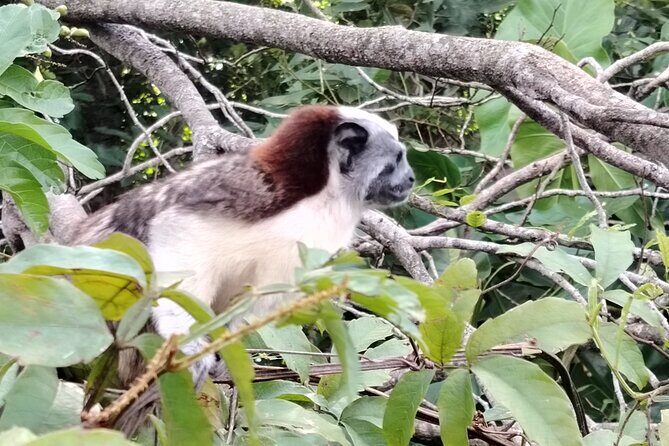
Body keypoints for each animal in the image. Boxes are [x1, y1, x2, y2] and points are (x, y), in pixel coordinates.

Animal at [70, 105, 415, 388]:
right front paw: (189, 346)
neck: (324, 196)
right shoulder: (252, 195)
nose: (411, 178)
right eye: (396, 161)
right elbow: (175, 229)